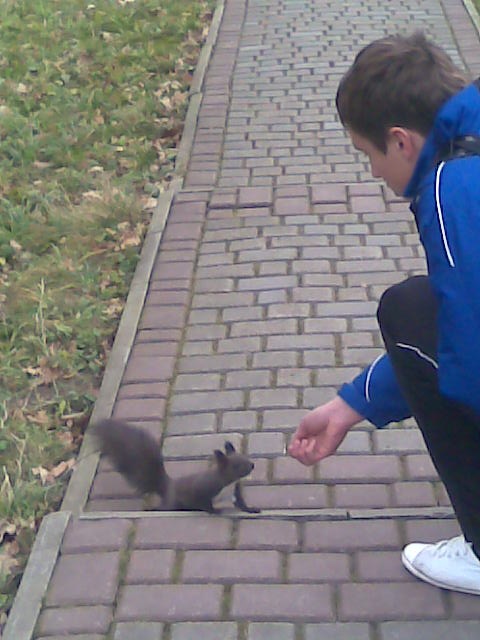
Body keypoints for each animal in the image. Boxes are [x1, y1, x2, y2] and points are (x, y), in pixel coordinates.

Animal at [93, 418, 260, 514]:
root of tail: (168, 487)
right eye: (236, 465)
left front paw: (252, 509)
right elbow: (205, 504)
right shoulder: (202, 489)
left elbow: (241, 503)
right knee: (166, 508)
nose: (252, 465)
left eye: (245, 456)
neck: (228, 483)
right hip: (173, 502)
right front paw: (216, 512)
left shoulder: (236, 492)